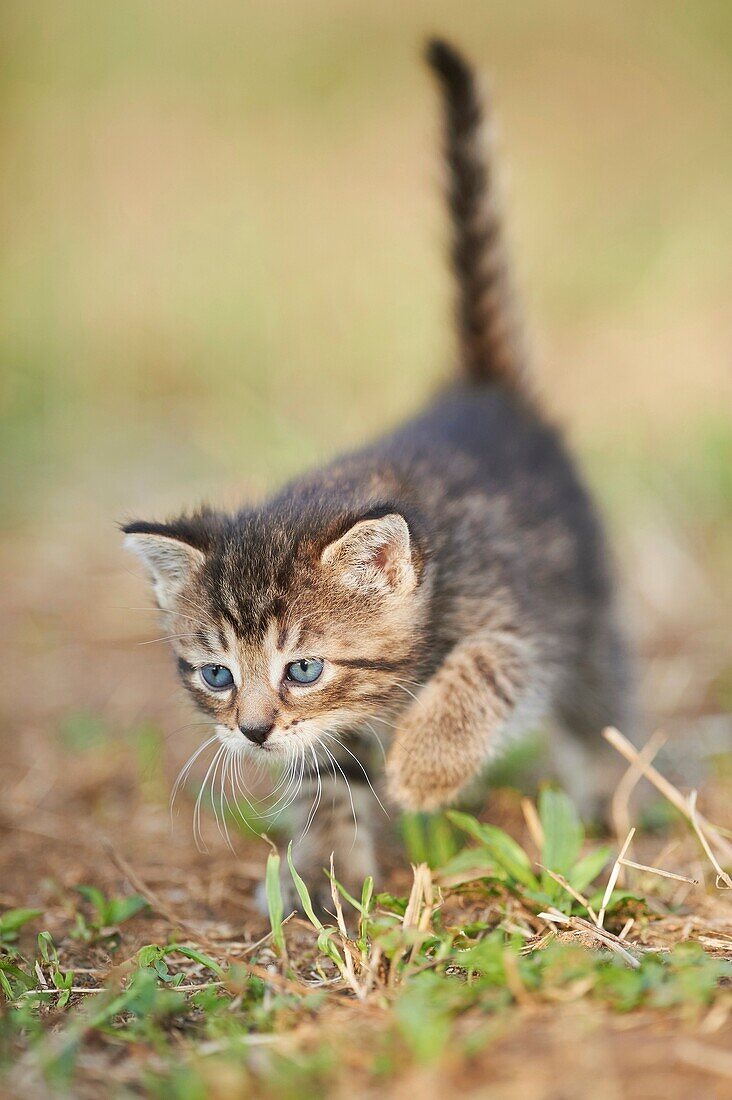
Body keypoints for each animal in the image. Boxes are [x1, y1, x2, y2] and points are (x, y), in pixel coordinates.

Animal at [121, 40, 634, 902]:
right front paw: (323, 876)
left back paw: (615, 791)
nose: (252, 732)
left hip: (585, 601)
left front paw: (426, 768)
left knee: (602, 697)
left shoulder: (518, 614)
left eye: (303, 668)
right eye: (217, 675)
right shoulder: (323, 734)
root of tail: (481, 391)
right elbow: (327, 781)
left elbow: (491, 665)